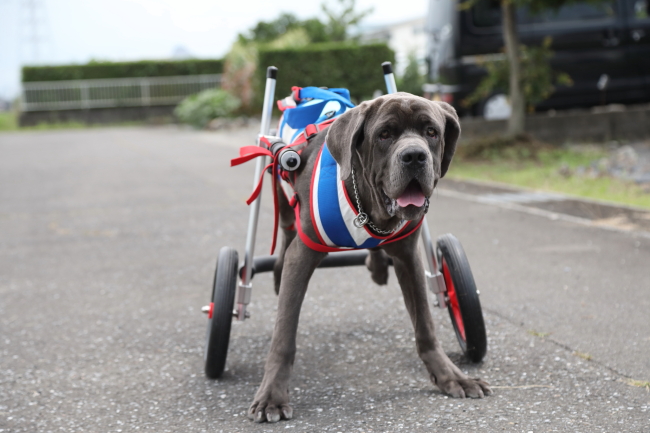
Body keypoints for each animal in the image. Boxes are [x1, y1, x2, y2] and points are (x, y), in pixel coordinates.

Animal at [246, 92, 488, 422]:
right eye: (384, 134)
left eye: (431, 132)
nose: (415, 156)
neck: (367, 204)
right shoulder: (303, 255)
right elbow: (284, 335)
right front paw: (272, 396)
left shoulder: (409, 257)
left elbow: (425, 327)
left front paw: (452, 377)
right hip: (278, 186)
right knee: (285, 229)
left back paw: (377, 265)